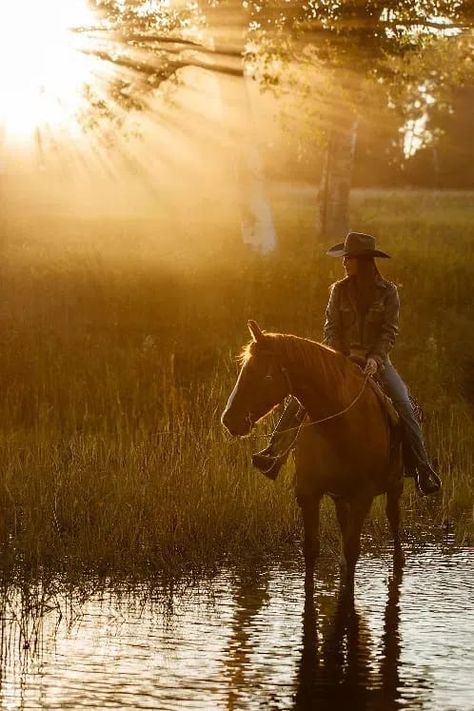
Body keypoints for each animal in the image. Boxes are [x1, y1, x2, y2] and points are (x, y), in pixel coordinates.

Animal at [222, 322, 404, 588]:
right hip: (341, 496)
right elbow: (310, 550)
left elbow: (352, 550)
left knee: (394, 518)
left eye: (262, 375)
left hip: (395, 486)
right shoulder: (308, 493)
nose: (229, 420)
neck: (339, 425)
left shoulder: (363, 497)